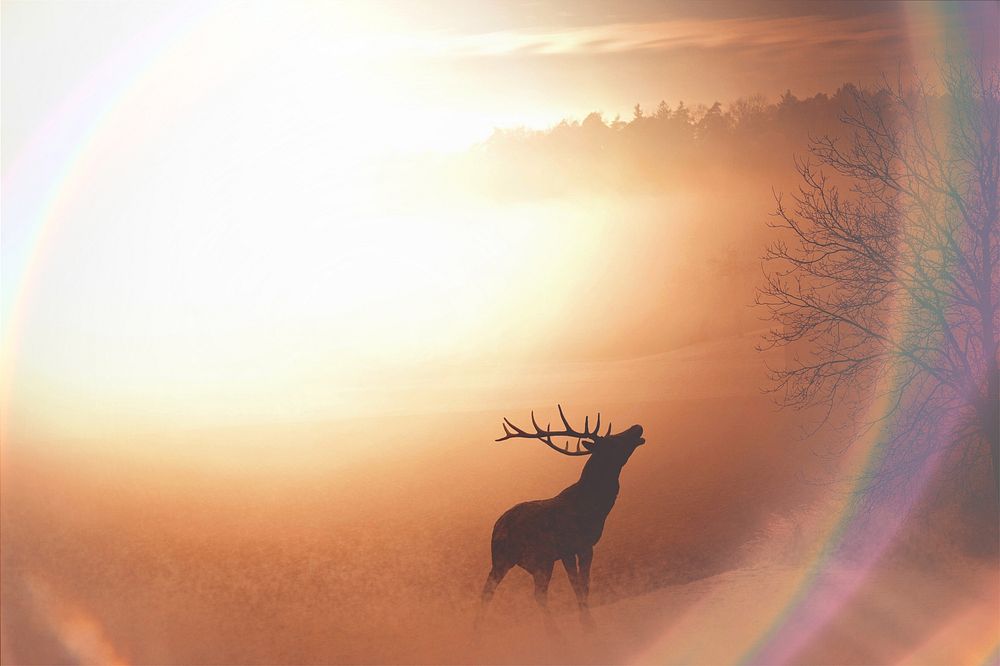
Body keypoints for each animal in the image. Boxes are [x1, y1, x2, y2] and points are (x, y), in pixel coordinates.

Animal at [478, 404, 648, 628]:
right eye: (612, 441)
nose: (637, 427)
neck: (594, 507)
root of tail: (496, 528)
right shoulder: (573, 546)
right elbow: (580, 585)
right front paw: (588, 625)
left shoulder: (576, 549)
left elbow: (582, 585)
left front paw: (586, 621)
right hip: (514, 558)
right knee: (499, 592)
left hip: (531, 561)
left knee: (530, 593)